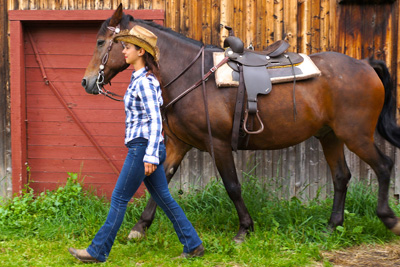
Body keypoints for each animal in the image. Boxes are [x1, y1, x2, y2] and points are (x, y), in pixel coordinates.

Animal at [80, 4, 400, 244]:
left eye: (100, 42)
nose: (86, 82)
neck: (190, 76)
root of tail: (365, 64)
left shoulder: (218, 144)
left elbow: (232, 186)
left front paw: (245, 228)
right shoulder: (179, 145)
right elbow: (161, 182)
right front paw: (140, 227)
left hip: (355, 134)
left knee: (383, 166)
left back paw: (388, 218)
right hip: (330, 135)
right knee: (341, 177)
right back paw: (332, 226)